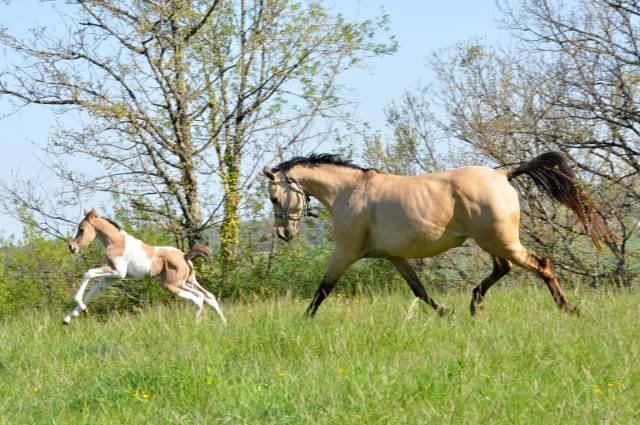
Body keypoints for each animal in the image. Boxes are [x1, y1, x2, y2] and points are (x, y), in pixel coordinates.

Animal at [64, 208, 226, 324]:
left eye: (81, 229)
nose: (71, 247)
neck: (116, 242)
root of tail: (185, 256)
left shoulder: (118, 272)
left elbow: (88, 273)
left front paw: (81, 309)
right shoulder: (111, 278)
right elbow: (92, 292)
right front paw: (68, 318)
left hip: (172, 285)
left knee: (198, 298)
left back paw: (197, 326)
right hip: (188, 282)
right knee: (209, 296)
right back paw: (223, 324)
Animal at [262, 152, 615, 317]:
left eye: (274, 198)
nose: (284, 233)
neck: (350, 192)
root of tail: (503, 174)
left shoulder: (345, 253)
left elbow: (323, 289)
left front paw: (303, 321)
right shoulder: (396, 256)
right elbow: (419, 290)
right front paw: (446, 312)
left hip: (501, 241)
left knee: (541, 264)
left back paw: (568, 308)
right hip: (492, 241)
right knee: (504, 268)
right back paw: (474, 305)